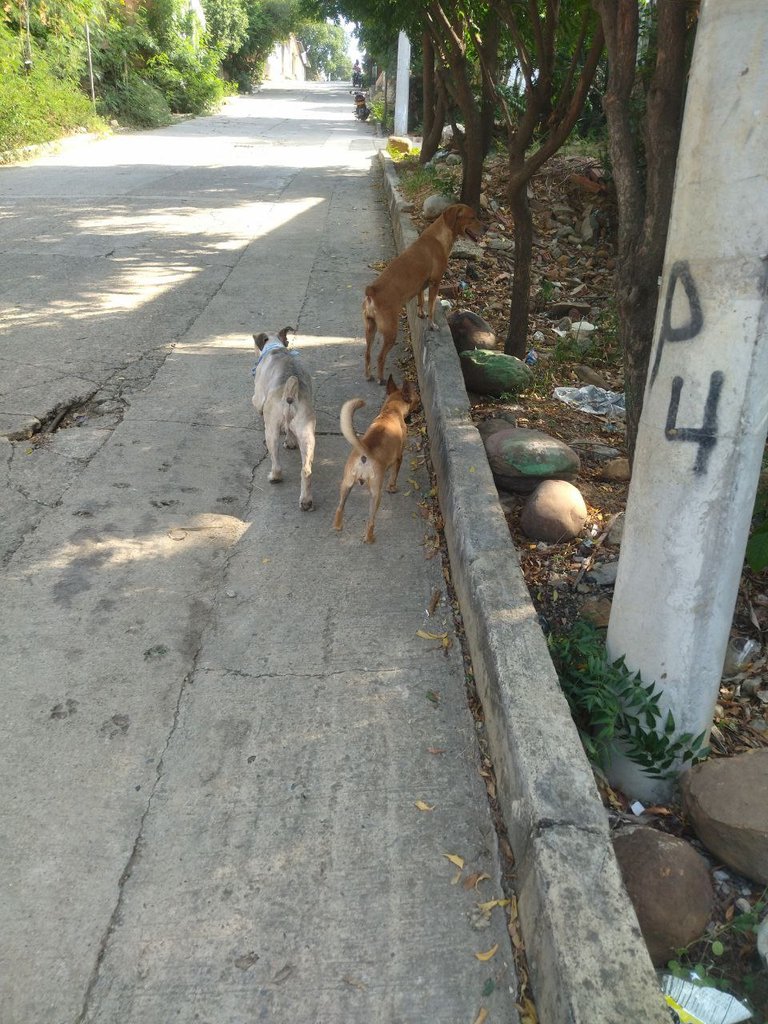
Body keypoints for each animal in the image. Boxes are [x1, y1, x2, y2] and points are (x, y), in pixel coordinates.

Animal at [249, 327, 315, 512]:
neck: (275, 347)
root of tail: (291, 393)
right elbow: (289, 433)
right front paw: (290, 441)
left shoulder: (258, 398)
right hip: (306, 433)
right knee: (306, 470)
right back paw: (306, 501)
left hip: (271, 431)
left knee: (277, 464)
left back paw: (274, 477)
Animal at [333, 376, 421, 544]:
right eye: (417, 401)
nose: (419, 410)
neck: (391, 411)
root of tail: (364, 451)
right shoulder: (399, 458)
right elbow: (394, 475)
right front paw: (392, 487)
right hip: (375, 494)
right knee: (371, 520)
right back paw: (370, 538)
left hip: (346, 484)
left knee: (340, 507)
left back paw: (338, 526)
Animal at [362, 202, 481, 385]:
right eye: (472, 217)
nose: (487, 227)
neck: (439, 237)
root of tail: (372, 292)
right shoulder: (435, 283)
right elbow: (431, 307)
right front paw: (432, 324)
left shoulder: (421, 285)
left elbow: (420, 301)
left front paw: (420, 314)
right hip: (390, 332)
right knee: (380, 357)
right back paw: (381, 378)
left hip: (370, 329)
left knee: (367, 355)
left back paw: (369, 375)